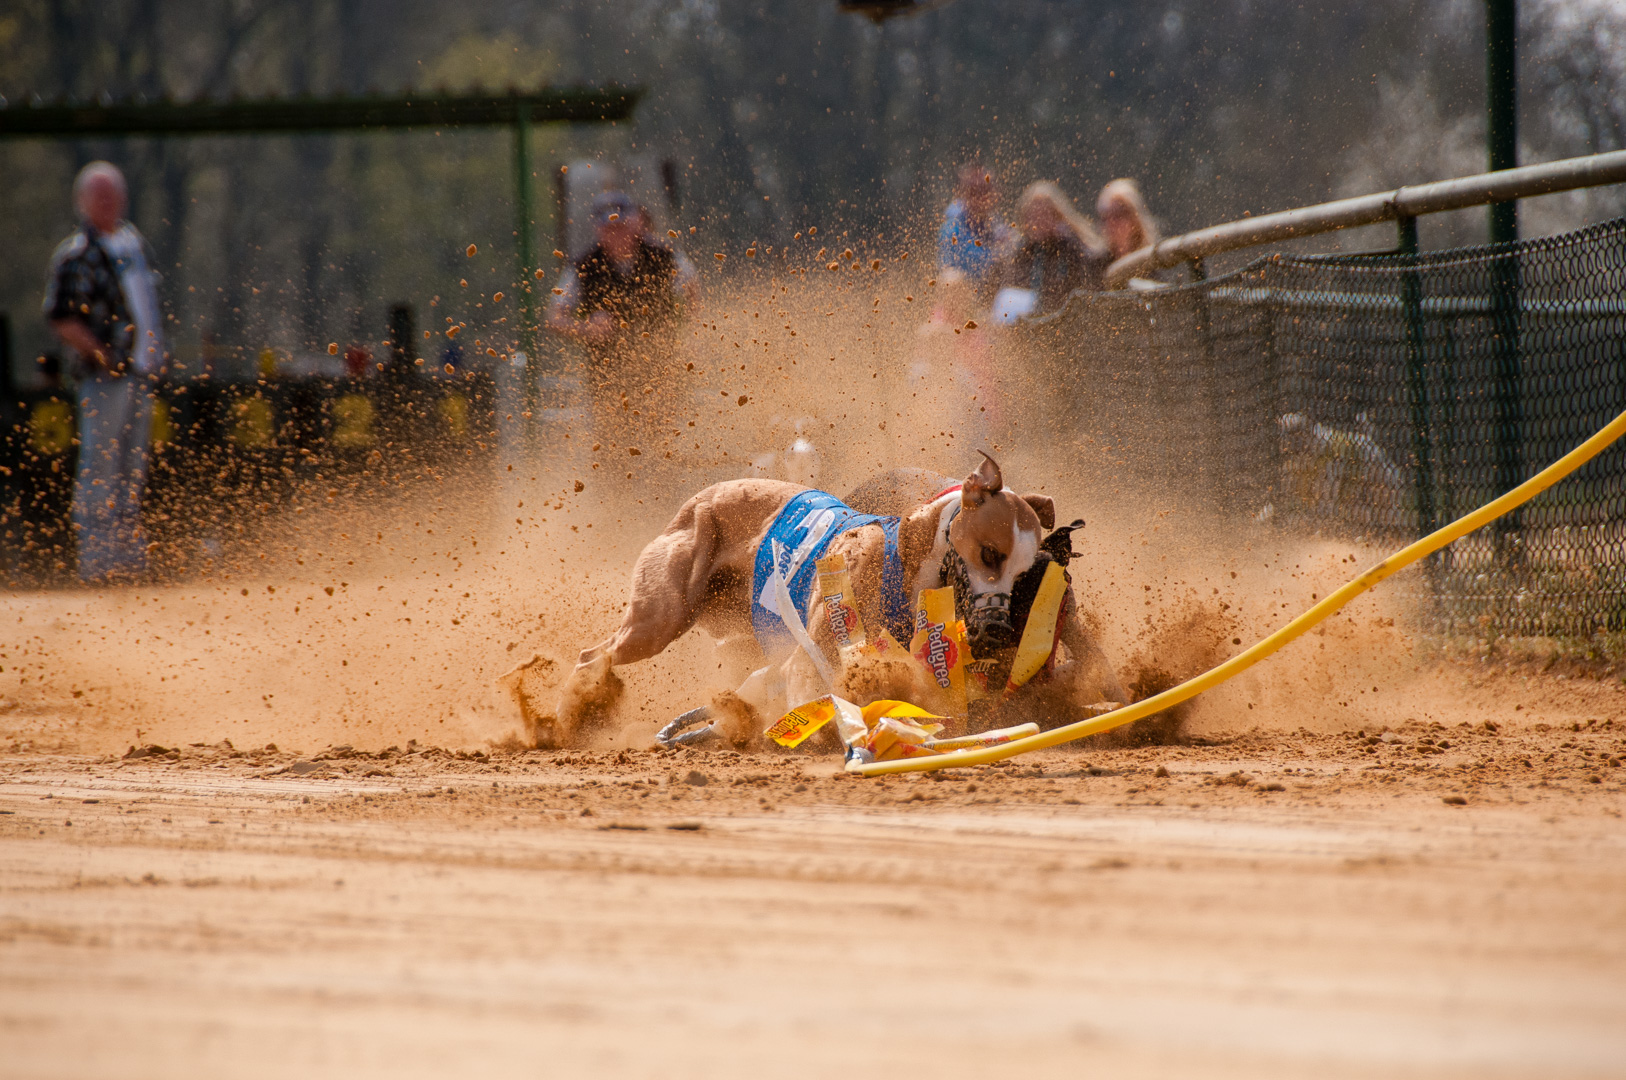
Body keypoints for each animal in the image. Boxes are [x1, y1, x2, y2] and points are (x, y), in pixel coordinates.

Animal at [500, 452, 1125, 748]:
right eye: (991, 552)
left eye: (1026, 572)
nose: (996, 632)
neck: (908, 560)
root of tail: (701, 497)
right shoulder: (816, 651)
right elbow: (815, 691)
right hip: (660, 616)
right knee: (594, 655)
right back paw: (572, 715)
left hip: (731, 630)